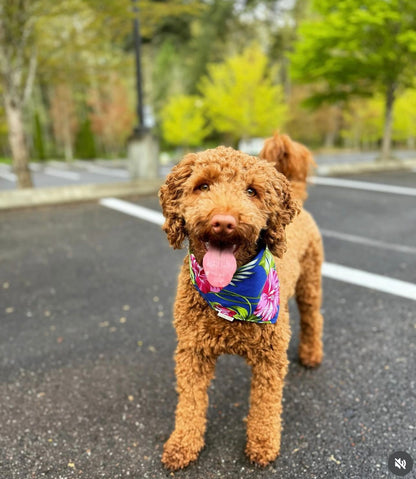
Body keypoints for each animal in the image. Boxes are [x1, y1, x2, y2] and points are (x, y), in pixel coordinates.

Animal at [158, 133, 324, 470]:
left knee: (313, 316)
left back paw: (312, 354)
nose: (223, 223)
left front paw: (262, 445)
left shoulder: (270, 357)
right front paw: (183, 444)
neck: (231, 298)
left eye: (252, 191)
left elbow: (266, 405)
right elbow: (190, 402)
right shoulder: (192, 351)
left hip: (310, 282)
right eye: (203, 186)